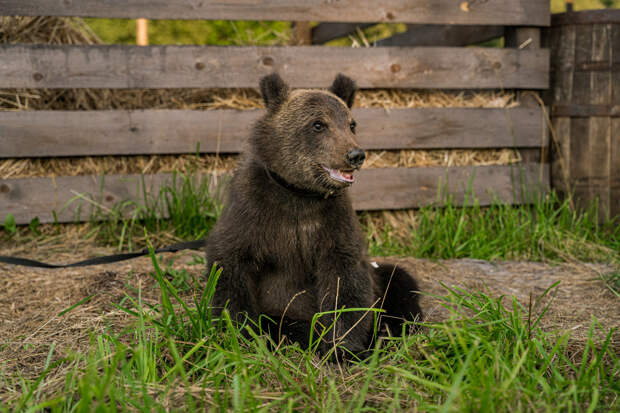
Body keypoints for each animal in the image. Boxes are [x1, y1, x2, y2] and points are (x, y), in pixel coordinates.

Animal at [206, 72, 424, 356]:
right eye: (318, 124)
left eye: (351, 124)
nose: (355, 154)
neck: (299, 195)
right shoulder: (252, 214)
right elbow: (230, 266)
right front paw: (241, 332)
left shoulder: (333, 224)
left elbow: (345, 280)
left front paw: (343, 346)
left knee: (399, 280)